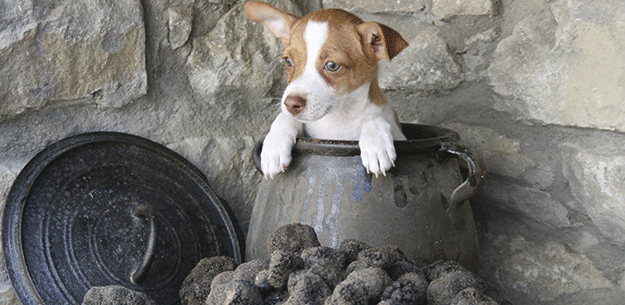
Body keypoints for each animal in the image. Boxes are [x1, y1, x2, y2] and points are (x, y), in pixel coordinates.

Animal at [244, 1, 410, 178]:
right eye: (288, 61)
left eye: (332, 66)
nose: (291, 104)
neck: (339, 118)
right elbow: (285, 117)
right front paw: (273, 147)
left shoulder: (399, 134)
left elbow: (376, 118)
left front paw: (376, 143)